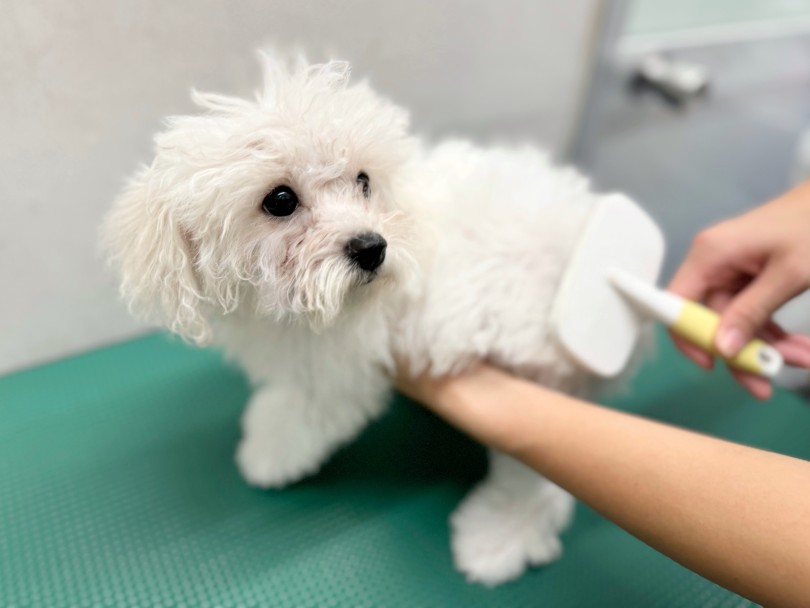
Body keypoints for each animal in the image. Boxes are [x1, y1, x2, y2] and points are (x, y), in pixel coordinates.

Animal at [102, 53, 622, 585]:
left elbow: (308, 409)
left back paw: (499, 538)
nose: (373, 247)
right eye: (280, 200)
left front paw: (270, 451)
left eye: (364, 181)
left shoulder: (341, 362)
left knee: (538, 478)